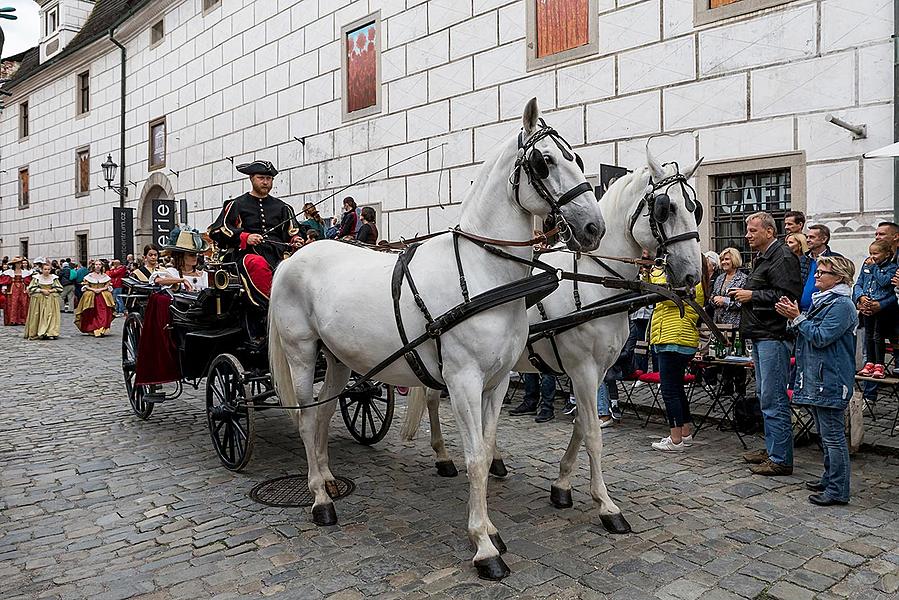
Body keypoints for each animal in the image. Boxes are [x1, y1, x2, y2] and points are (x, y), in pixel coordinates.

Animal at [268, 99, 604, 580]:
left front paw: (491, 531)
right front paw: (484, 547)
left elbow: (486, 448)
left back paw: (329, 480)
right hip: (300, 354)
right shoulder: (462, 380)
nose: (593, 227)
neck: (484, 274)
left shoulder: (496, 382)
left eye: (575, 157)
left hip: (337, 359)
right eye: (545, 161)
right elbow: (476, 458)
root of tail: (294, 256)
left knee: (325, 413)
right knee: (307, 418)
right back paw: (319, 498)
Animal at [400, 151, 704, 536]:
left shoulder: (596, 372)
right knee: (431, 398)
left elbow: (582, 425)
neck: (595, 281)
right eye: (667, 208)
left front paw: (561, 486)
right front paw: (606, 506)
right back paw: (442, 456)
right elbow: (593, 433)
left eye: (696, 208)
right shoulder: (583, 368)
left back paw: (493, 459)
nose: (693, 274)